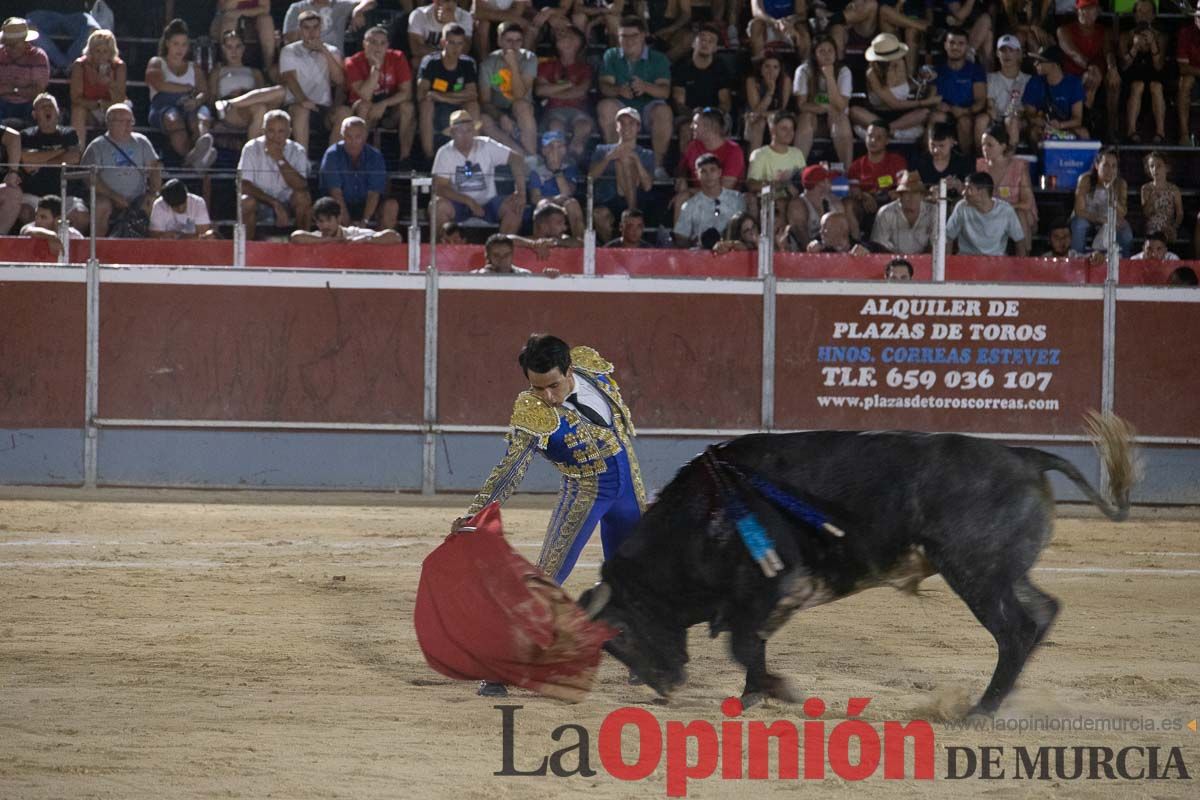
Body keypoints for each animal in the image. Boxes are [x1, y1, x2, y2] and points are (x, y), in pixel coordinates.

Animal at [580, 412, 1132, 714]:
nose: (667, 688)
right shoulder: (755, 600)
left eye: (621, 633)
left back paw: (981, 710)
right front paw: (757, 693)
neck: (704, 515)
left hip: (975, 572)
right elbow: (751, 647)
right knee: (1044, 610)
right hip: (1002, 571)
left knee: (1015, 630)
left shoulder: (762, 588)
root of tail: (1024, 455)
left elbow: (743, 646)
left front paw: (778, 690)